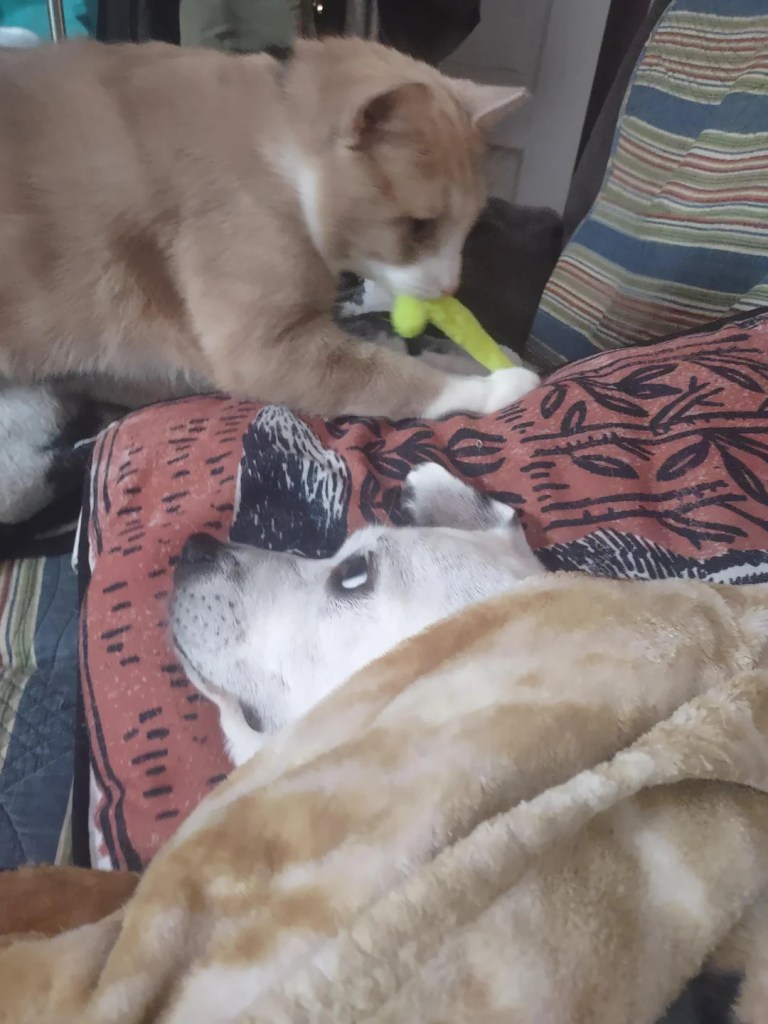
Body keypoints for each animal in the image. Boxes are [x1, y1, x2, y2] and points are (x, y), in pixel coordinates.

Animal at [0, 37, 536, 417]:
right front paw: (499, 385)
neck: (278, 156)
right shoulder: (263, 346)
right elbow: (394, 377)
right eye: (420, 226)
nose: (450, 287)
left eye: (468, 226)